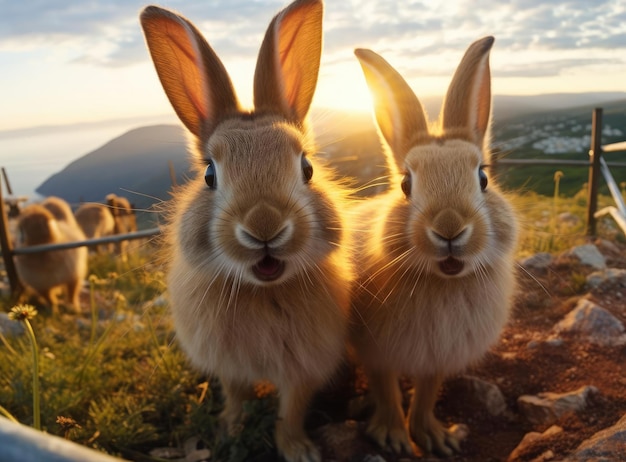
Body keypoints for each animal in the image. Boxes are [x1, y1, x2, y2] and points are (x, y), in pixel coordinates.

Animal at [139, 1, 352, 460]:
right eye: (209, 175)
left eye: (308, 168)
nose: (264, 226)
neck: (262, 292)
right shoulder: (229, 367)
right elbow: (236, 396)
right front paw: (231, 432)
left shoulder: (302, 369)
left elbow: (291, 410)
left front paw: (299, 450)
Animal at [348, 35, 520, 454]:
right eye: (406, 184)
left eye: (483, 179)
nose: (449, 228)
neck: (443, 282)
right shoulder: (376, 352)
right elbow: (386, 390)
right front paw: (393, 438)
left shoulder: (438, 359)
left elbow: (426, 394)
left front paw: (436, 438)